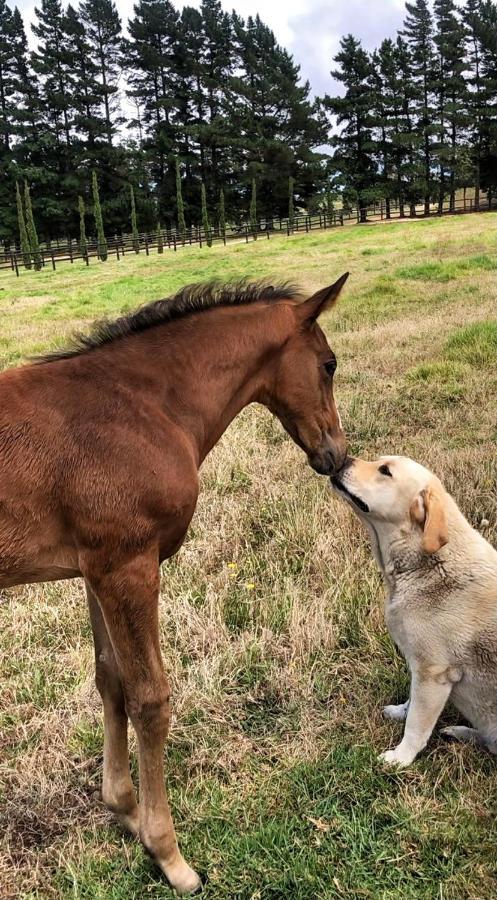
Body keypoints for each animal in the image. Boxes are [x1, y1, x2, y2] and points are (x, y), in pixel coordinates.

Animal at [0, 276, 346, 892]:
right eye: (328, 364)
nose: (339, 454)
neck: (143, 405)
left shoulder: (95, 569)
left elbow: (110, 679)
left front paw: (125, 810)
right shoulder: (129, 566)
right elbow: (151, 699)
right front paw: (169, 856)